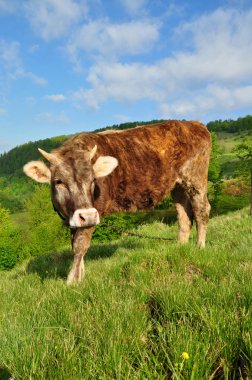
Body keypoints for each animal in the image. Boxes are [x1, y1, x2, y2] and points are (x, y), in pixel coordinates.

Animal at [23, 120, 211, 284]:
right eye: (59, 181)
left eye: (93, 180)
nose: (87, 215)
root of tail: (194, 124)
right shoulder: (75, 219)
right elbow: (74, 245)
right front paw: (80, 275)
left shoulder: (94, 211)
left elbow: (80, 245)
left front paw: (72, 281)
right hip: (177, 186)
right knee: (184, 216)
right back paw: (180, 248)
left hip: (196, 177)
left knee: (201, 209)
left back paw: (200, 247)